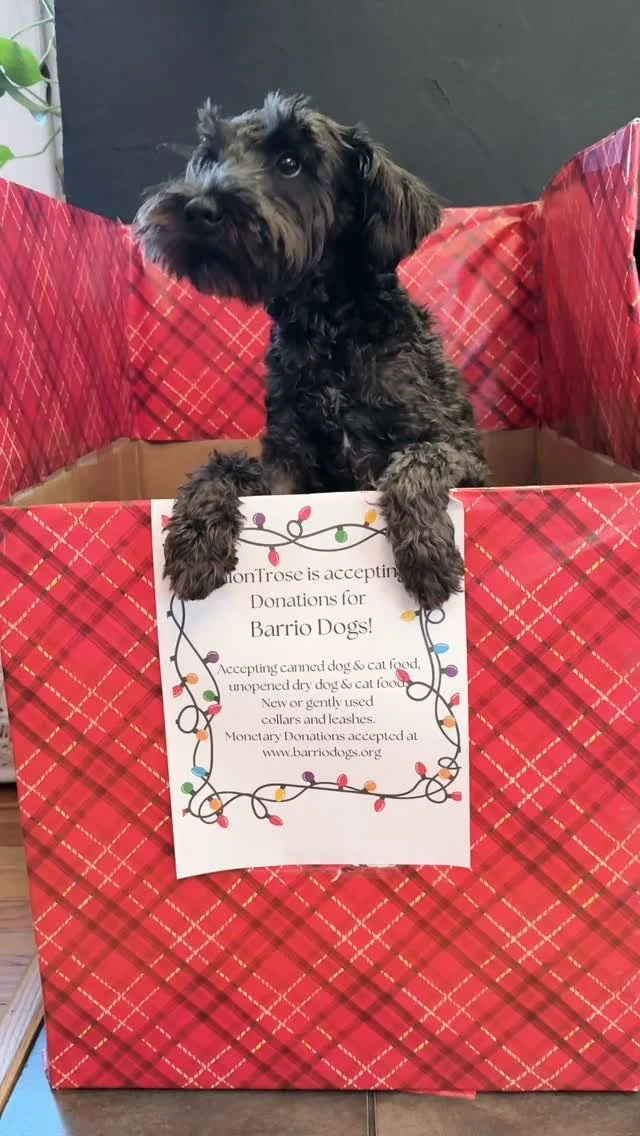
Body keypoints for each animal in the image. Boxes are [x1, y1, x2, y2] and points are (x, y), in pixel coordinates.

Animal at [134, 93, 489, 610]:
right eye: (210, 157)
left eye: (290, 163)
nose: (199, 208)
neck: (330, 335)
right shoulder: (286, 469)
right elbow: (222, 464)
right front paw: (195, 542)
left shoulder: (467, 460)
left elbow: (418, 460)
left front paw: (426, 550)